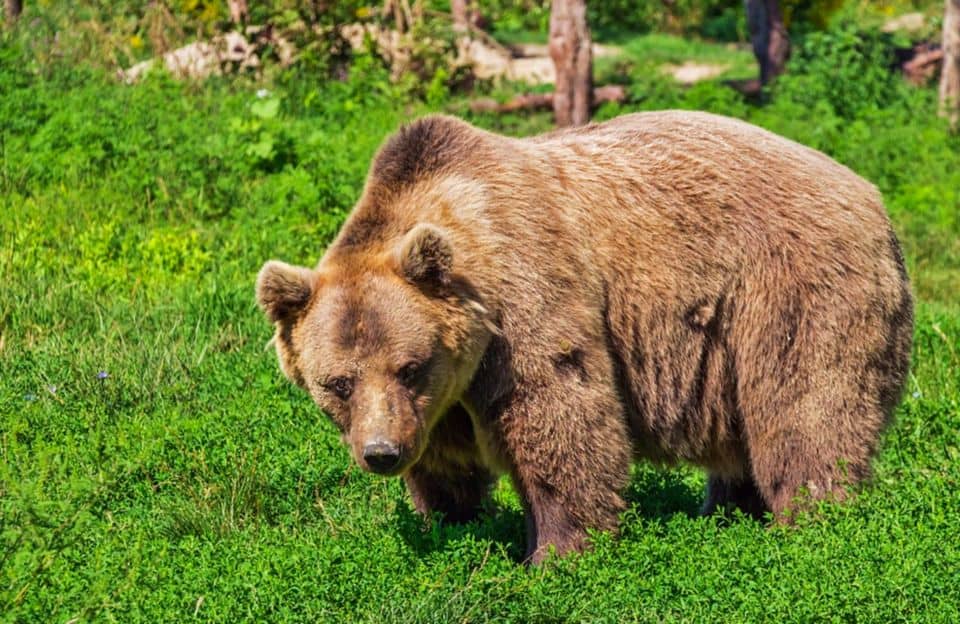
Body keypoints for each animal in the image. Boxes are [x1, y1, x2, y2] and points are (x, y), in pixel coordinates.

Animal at [256, 111, 913, 563]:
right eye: (337, 383)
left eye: (409, 366)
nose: (381, 453)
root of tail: (872, 196)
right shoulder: (440, 399)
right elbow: (445, 461)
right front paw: (452, 521)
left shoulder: (525, 302)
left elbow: (560, 416)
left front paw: (556, 553)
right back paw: (727, 512)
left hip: (791, 290)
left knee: (805, 409)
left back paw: (812, 522)